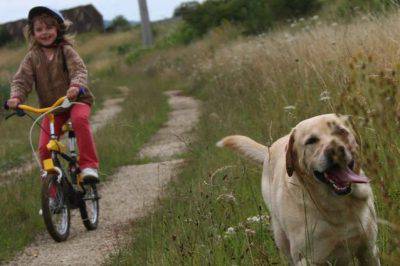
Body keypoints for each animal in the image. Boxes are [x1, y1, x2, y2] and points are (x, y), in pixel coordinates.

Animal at [217, 114, 380, 266]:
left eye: (341, 131)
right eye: (311, 141)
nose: (335, 149)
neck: (336, 206)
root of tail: (270, 149)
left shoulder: (369, 250)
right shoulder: (306, 259)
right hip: (282, 239)